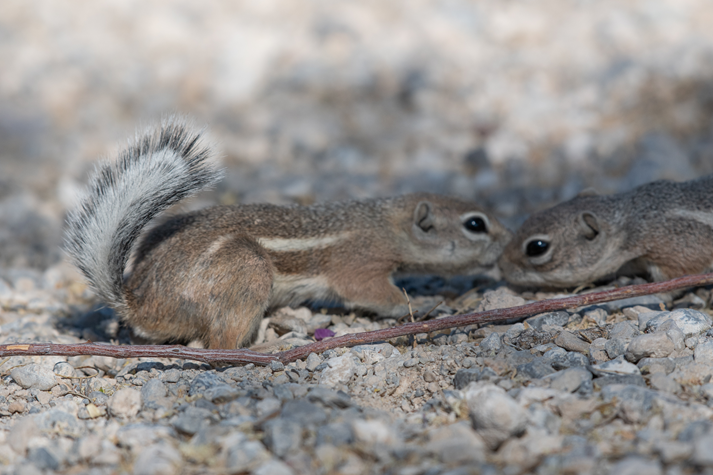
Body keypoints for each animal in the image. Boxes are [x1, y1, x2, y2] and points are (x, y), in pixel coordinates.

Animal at [64, 119, 512, 349]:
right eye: (476, 224)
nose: (509, 245)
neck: (385, 223)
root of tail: (137, 303)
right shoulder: (360, 265)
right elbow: (377, 295)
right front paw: (426, 303)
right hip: (246, 274)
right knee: (218, 346)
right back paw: (269, 346)